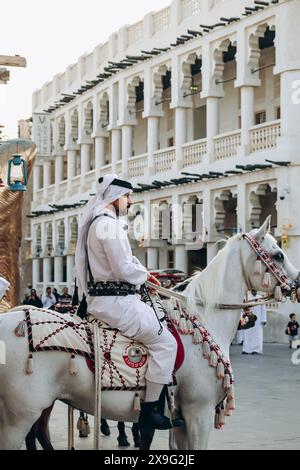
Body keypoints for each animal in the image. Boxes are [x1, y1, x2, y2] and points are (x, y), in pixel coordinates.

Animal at [0, 218, 298, 450]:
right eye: (278, 255)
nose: (296, 284)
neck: (204, 319)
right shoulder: (198, 413)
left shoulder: (181, 421)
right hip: (19, 416)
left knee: (39, 434)